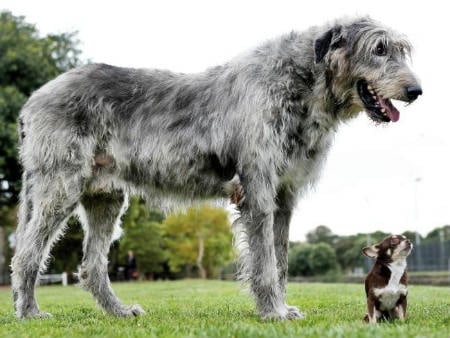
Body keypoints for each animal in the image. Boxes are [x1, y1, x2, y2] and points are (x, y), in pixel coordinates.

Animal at [13, 16, 422, 320]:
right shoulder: (258, 189)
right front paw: (273, 311)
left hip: (105, 198)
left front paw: (281, 305)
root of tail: (32, 101)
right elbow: (265, 262)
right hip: (59, 187)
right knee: (26, 255)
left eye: (402, 49)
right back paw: (30, 312)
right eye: (379, 48)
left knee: (92, 266)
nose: (416, 91)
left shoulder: (284, 197)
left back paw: (118, 311)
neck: (299, 82)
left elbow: (281, 259)